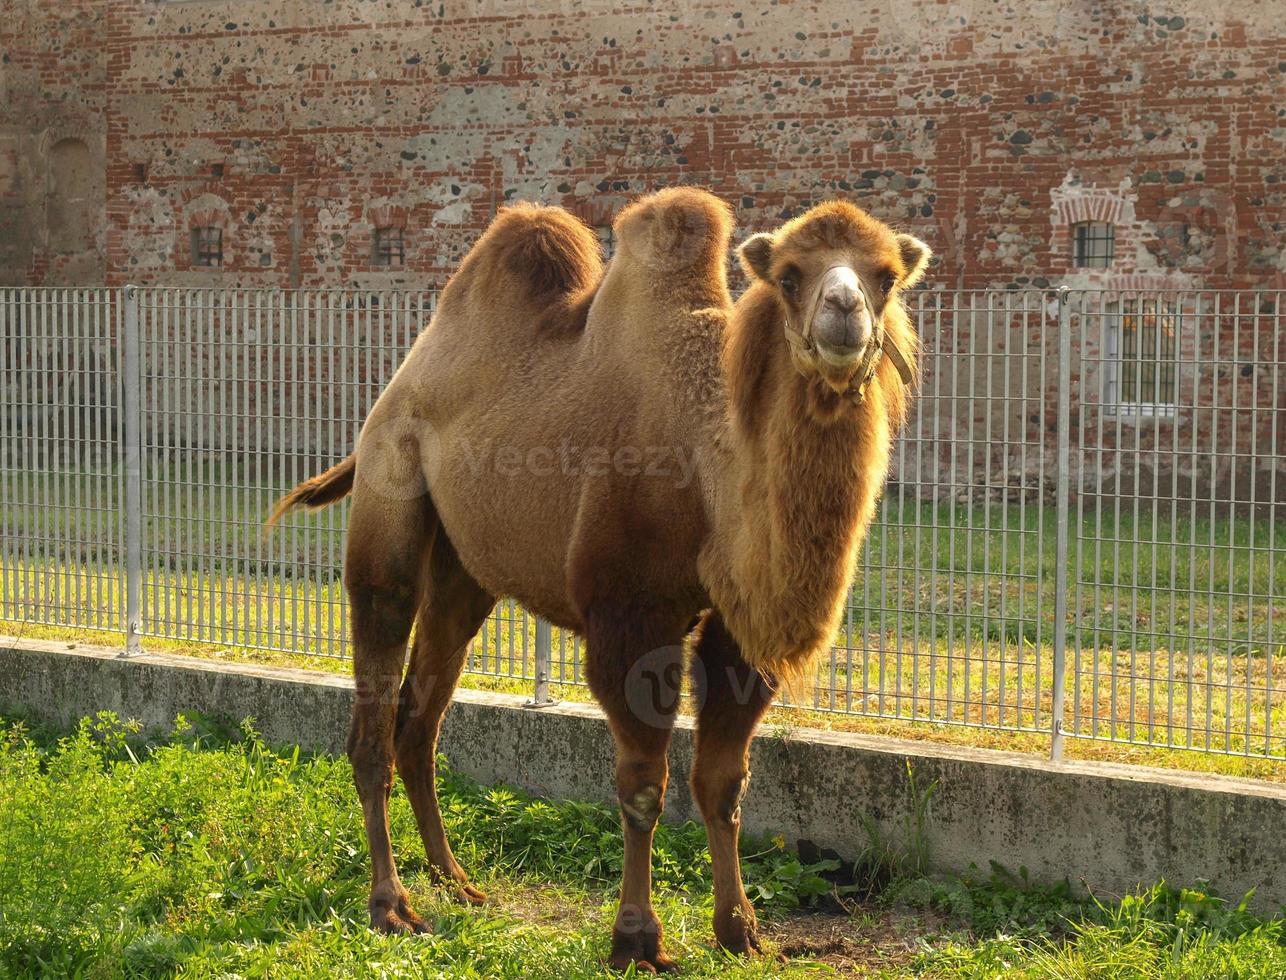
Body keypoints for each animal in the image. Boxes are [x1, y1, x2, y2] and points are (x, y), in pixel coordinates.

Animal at [266, 186, 931, 967]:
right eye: (791, 275)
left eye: (886, 275)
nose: (845, 312)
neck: (710, 464)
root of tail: (391, 393)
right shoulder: (628, 615)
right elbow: (643, 787)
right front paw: (637, 939)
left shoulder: (740, 632)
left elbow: (724, 783)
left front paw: (741, 932)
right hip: (389, 489)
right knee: (375, 691)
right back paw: (391, 905)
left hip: (464, 572)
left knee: (420, 720)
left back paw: (456, 879)